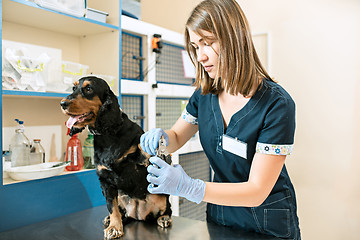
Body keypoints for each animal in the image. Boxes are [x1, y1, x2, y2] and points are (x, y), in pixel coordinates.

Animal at [60, 76, 172, 238]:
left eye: (89, 89)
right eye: (74, 88)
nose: (63, 103)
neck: (108, 134)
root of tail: (139, 215)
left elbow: (139, 143)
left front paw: (144, 153)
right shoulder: (105, 181)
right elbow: (111, 207)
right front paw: (114, 227)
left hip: (161, 194)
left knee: (168, 207)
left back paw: (164, 218)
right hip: (120, 196)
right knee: (121, 211)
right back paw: (113, 219)